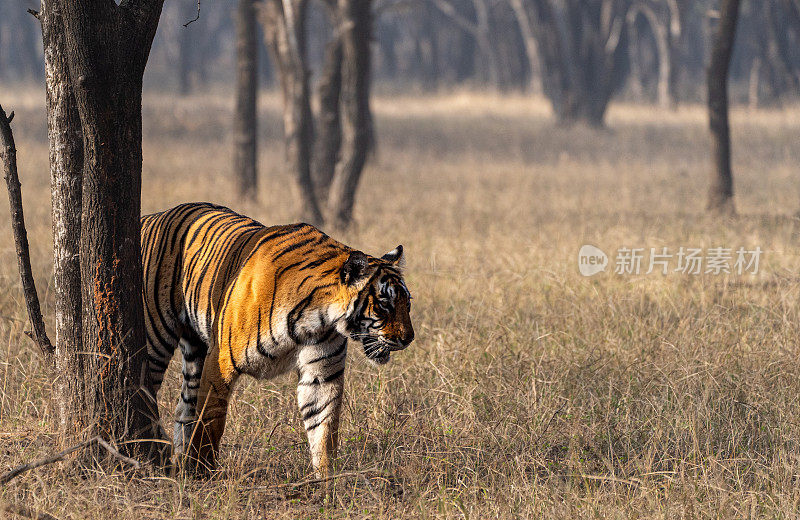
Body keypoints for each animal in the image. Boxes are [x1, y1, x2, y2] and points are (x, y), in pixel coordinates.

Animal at [139, 202, 412, 480]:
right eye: (384, 304)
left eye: (407, 302)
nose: (408, 338)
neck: (317, 316)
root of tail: (152, 217)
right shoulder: (220, 361)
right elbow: (211, 420)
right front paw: (203, 473)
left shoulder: (322, 374)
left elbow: (324, 427)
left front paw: (327, 479)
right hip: (155, 340)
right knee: (145, 392)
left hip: (195, 350)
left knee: (184, 407)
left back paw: (178, 462)